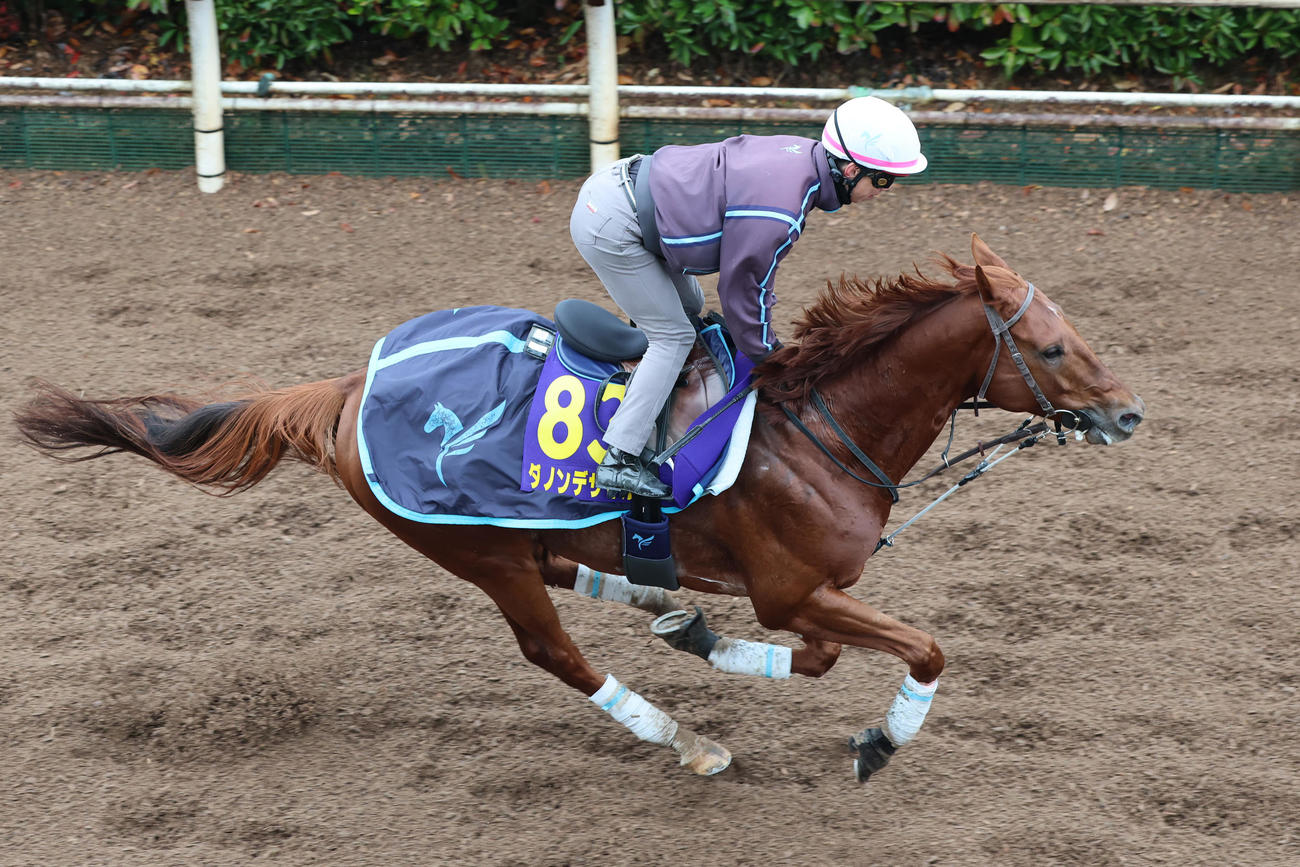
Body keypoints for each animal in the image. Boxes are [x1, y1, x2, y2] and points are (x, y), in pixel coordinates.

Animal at [14, 234, 1144, 782]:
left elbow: (823, 656)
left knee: (579, 570)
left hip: (524, 536)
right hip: (475, 550)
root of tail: (344, 389)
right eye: (1050, 348)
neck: (817, 424)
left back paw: (658, 604)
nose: (1126, 412)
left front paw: (702, 632)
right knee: (552, 647)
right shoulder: (792, 590)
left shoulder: (806, 594)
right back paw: (681, 736)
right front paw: (878, 744)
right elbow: (923, 648)